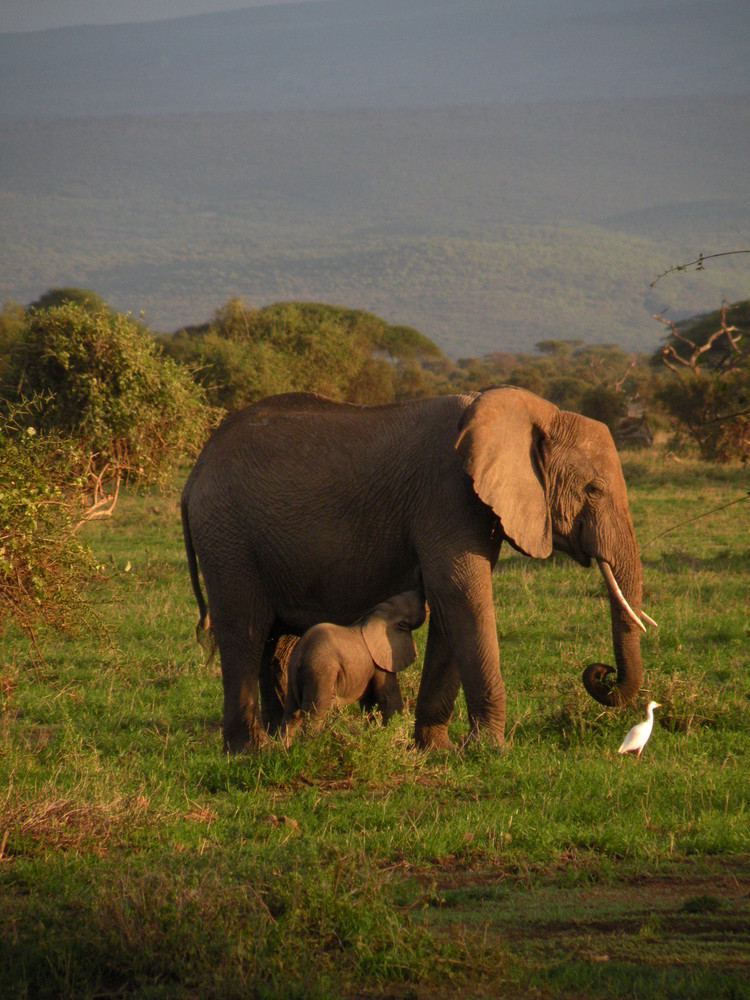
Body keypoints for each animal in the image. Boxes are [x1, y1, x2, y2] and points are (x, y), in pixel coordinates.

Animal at [280, 588, 428, 740]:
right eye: (414, 603)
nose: (422, 591)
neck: (377, 614)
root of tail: (300, 655)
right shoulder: (379, 660)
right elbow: (389, 698)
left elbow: (370, 703)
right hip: (320, 671)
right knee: (316, 715)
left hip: (293, 671)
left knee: (291, 715)